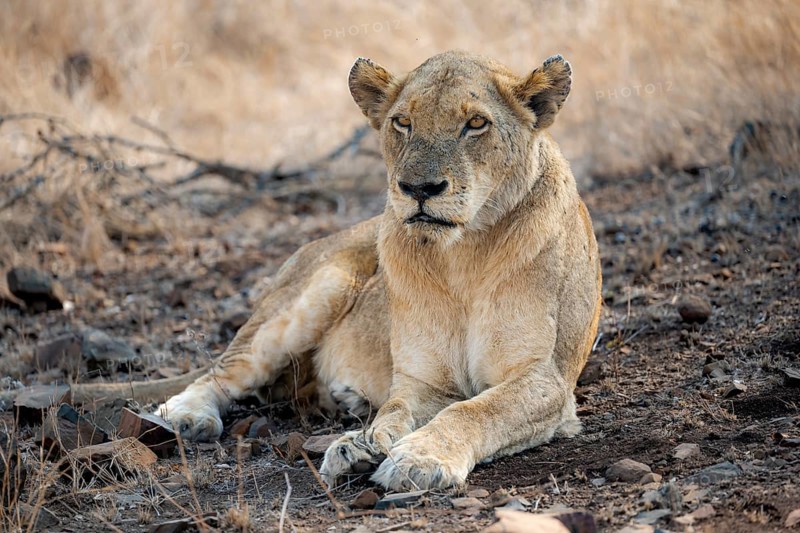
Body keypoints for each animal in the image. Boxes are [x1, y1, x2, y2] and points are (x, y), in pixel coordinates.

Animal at [158, 50, 602, 492]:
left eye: (476, 123)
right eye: (402, 122)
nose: (419, 189)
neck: (464, 255)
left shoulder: (545, 380)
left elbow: (475, 411)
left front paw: (418, 457)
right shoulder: (423, 380)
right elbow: (395, 409)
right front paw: (364, 445)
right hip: (315, 292)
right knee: (220, 371)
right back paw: (188, 415)